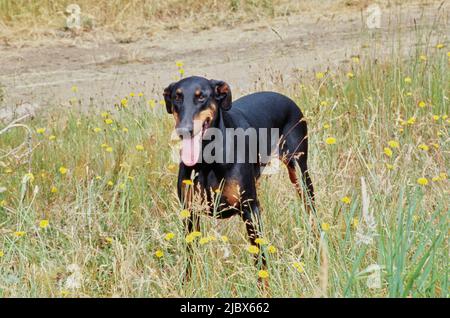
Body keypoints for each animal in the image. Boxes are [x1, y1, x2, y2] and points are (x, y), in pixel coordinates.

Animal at [163, 76, 314, 278]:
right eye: (177, 97)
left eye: (201, 97)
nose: (183, 130)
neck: (208, 159)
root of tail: (286, 98)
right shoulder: (190, 212)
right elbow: (190, 258)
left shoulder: (250, 211)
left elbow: (260, 261)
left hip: (299, 171)